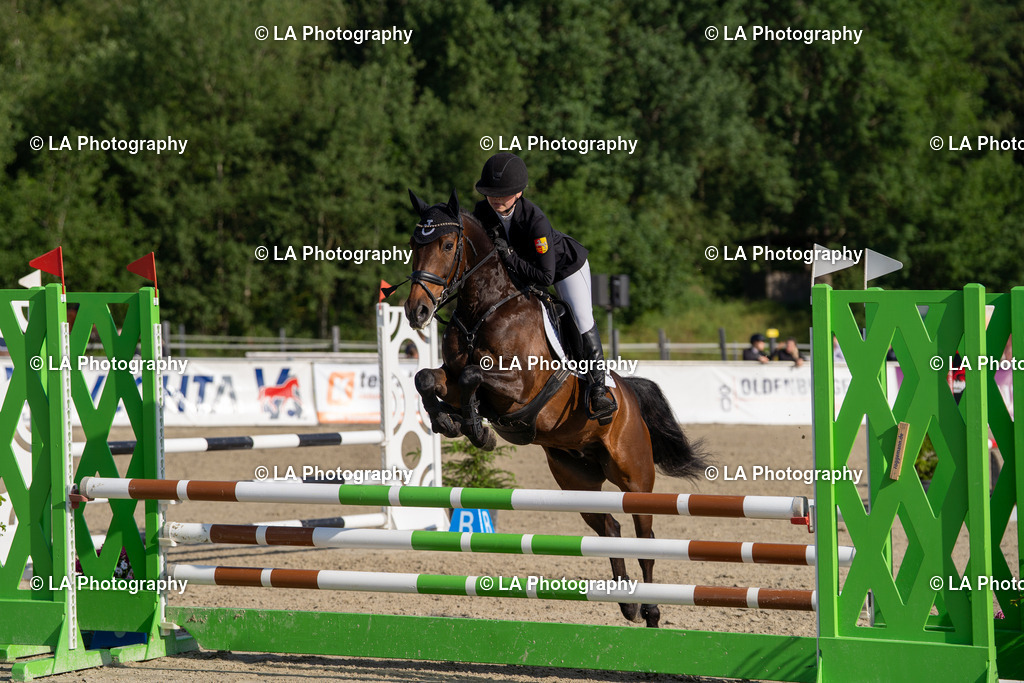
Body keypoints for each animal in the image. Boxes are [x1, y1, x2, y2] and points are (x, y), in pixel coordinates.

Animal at [402, 189, 709, 628]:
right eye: (414, 244)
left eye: (446, 245)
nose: (416, 312)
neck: (486, 308)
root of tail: (629, 397)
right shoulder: (452, 374)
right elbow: (427, 378)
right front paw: (448, 420)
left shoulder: (521, 386)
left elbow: (474, 376)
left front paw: (476, 429)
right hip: (575, 478)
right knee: (610, 527)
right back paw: (627, 602)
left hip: (634, 478)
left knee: (645, 535)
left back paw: (650, 609)